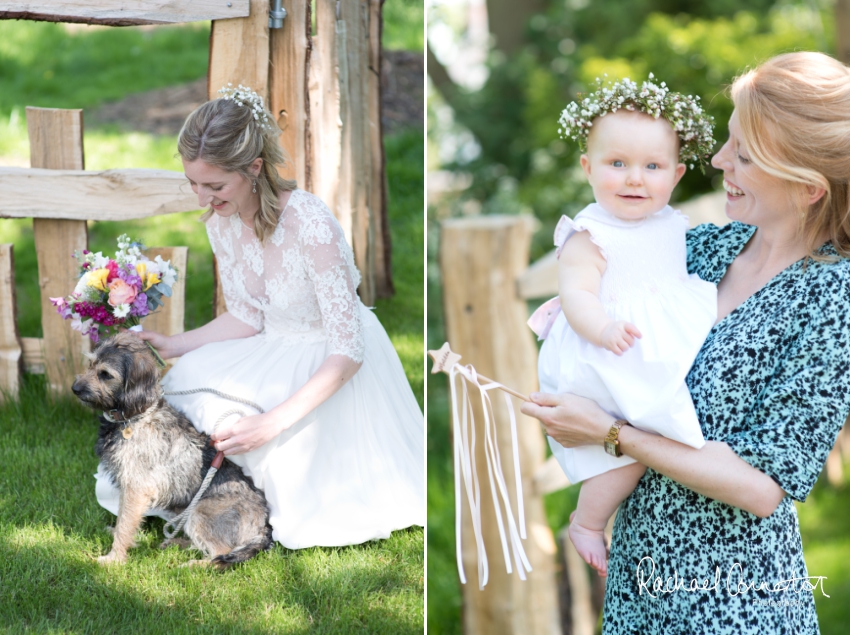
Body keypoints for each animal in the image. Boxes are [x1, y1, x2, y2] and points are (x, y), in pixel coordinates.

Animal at [73, 330, 274, 568]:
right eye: (90, 364)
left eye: (105, 374)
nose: (75, 389)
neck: (135, 416)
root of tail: (264, 524)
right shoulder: (128, 485)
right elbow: (124, 517)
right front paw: (119, 539)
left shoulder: (136, 487)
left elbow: (125, 522)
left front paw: (114, 558)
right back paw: (176, 543)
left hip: (199, 512)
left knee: (219, 554)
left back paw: (191, 566)